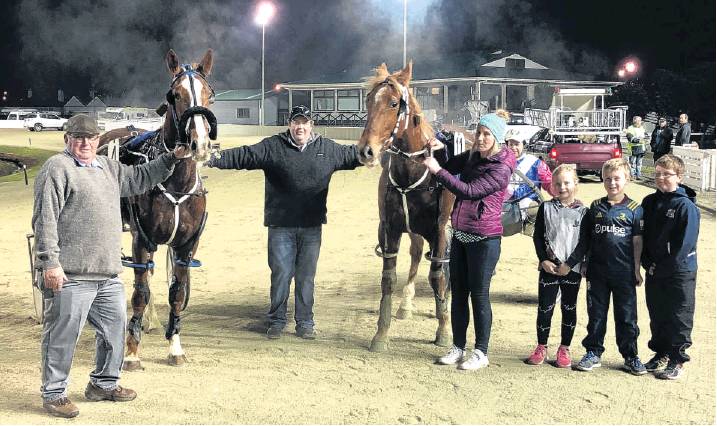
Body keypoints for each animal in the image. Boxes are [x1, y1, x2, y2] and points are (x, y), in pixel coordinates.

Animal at [97, 49, 218, 370]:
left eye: (210, 95)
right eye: (175, 95)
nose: (200, 144)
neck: (175, 183)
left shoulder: (187, 246)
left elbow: (176, 294)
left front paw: (174, 347)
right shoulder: (143, 239)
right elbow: (139, 293)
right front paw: (131, 352)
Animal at [356, 62, 462, 350]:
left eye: (394, 103)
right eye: (368, 100)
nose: (366, 151)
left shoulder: (439, 229)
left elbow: (437, 275)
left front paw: (444, 329)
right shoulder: (390, 227)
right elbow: (388, 278)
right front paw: (381, 333)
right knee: (415, 255)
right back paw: (406, 304)